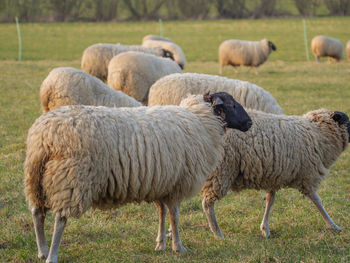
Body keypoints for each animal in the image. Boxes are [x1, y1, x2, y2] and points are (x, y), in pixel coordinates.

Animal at [24, 92, 253, 262]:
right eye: (231, 104)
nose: (250, 122)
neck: (200, 120)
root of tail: (45, 136)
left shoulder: (161, 183)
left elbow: (162, 213)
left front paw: (160, 244)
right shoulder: (177, 184)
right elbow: (175, 216)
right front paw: (178, 247)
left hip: (36, 178)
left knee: (37, 213)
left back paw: (42, 250)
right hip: (71, 179)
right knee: (60, 219)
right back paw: (52, 255)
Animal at [200, 109, 350, 239]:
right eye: (348, 122)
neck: (317, 131)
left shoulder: (273, 176)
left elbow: (270, 200)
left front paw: (265, 229)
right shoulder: (307, 177)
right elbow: (317, 201)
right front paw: (333, 225)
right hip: (220, 172)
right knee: (207, 204)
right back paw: (217, 233)